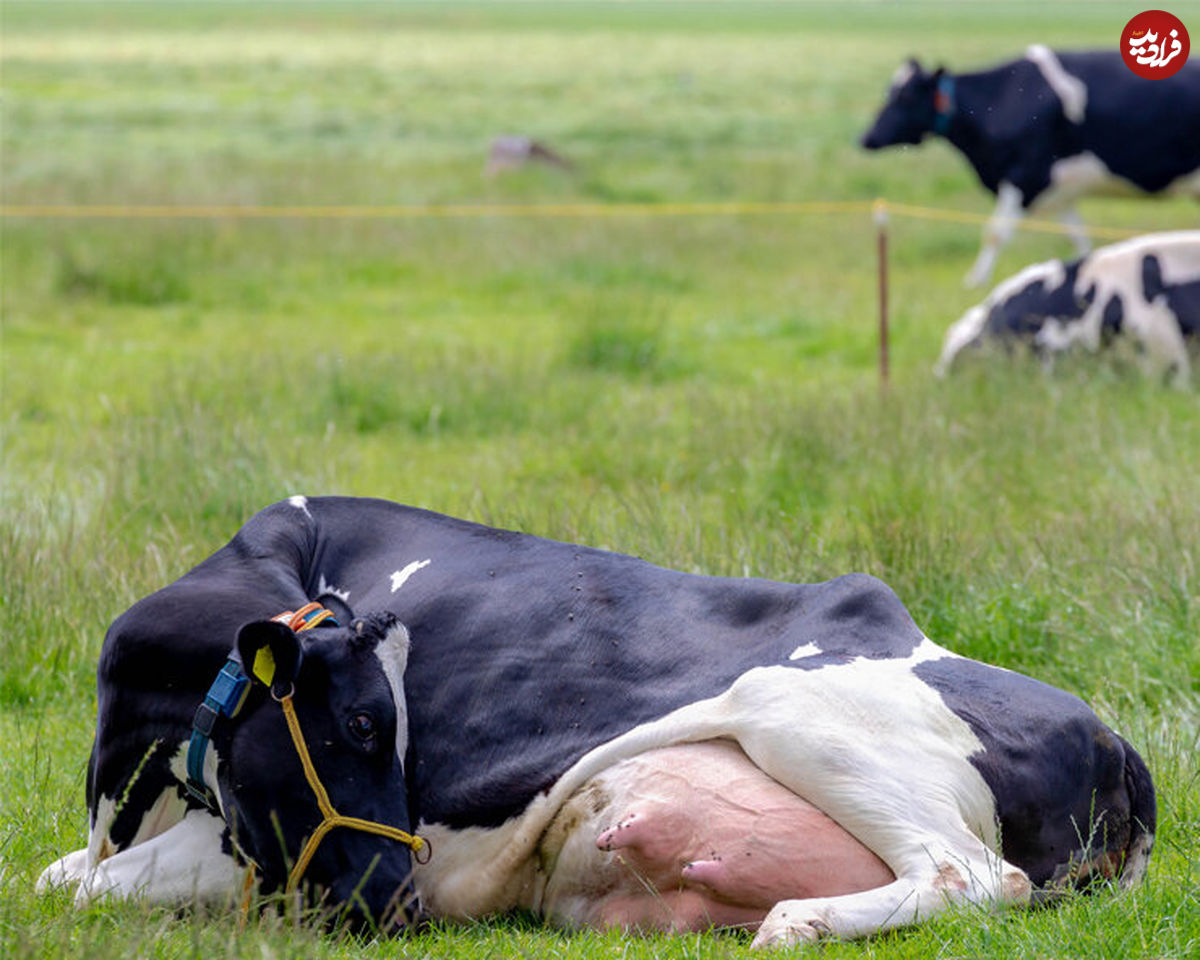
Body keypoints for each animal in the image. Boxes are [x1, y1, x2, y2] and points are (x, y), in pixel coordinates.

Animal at [42, 499, 1156, 950]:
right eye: (360, 725)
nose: (400, 903)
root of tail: (1115, 741)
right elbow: (64, 875)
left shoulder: (257, 850)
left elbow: (85, 890)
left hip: (796, 713)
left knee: (973, 874)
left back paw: (799, 923)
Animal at [864, 46, 1200, 285]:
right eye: (889, 93)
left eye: (906, 97)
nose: (866, 137)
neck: (1001, 98)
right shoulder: (1060, 189)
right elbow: (1078, 237)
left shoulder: (1026, 176)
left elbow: (995, 232)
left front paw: (975, 281)